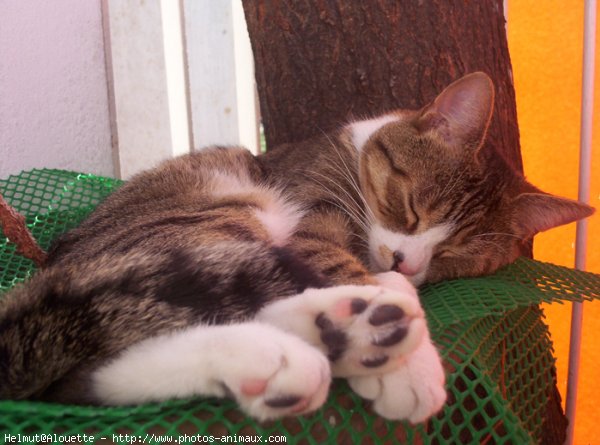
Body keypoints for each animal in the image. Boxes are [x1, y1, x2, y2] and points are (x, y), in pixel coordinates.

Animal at [0, 71, 592, 422]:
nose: (407, 260)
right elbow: (338, 260)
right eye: (411, 208)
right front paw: (409, 362)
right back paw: (355, 329)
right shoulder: (313, 211)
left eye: (457, 256)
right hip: (218, 213)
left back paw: (296, 351)